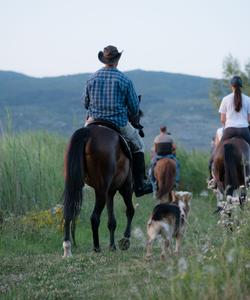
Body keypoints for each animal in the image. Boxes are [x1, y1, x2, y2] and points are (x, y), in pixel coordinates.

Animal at [62, 125, 135, 256]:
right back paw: (96, 247)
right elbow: (130, 211)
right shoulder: (126, 187)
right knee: (94, 217)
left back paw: (67, 248)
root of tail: (88, 132)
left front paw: (112, 246)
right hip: (102, 189)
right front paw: (125, 240)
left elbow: (112, 222)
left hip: (75, 183)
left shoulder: (110, 192)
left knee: (68, 213)